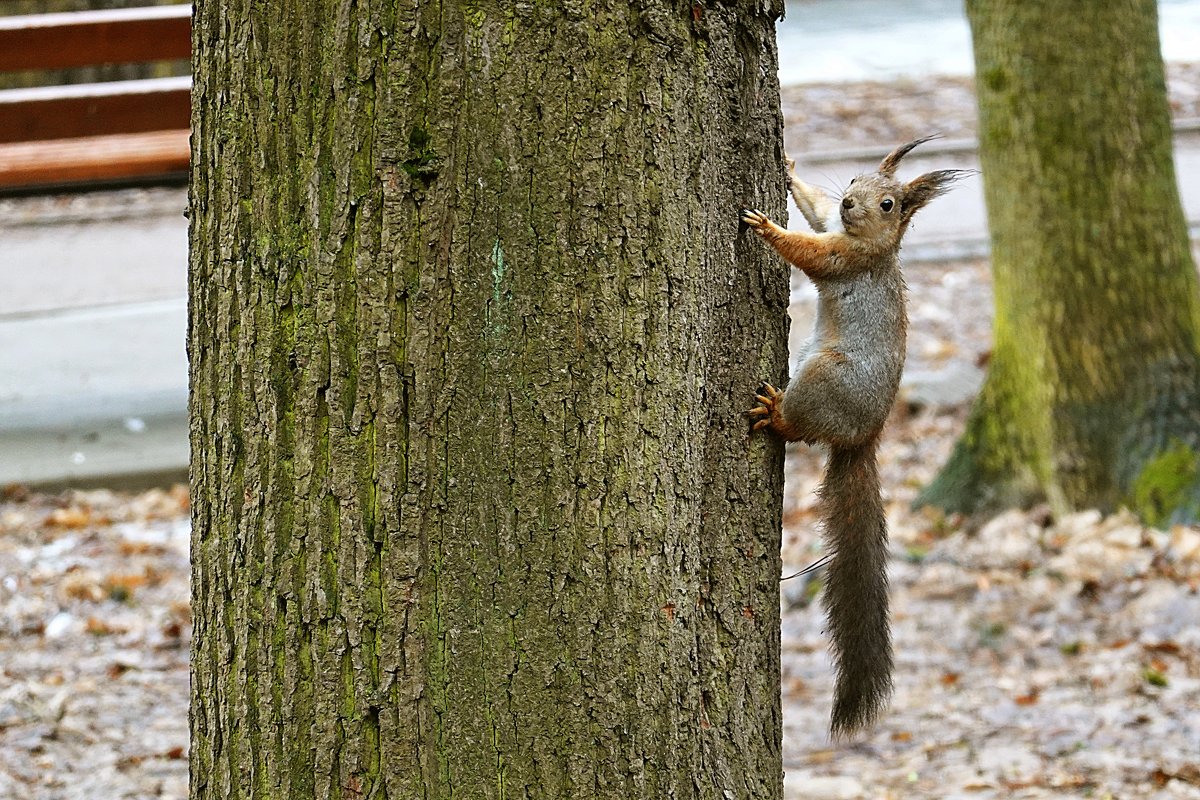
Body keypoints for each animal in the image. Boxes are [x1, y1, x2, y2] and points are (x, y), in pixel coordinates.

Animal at [739, 136, 964, 738]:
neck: (874, 244)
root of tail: (865, 436)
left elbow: (810, 251)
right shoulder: (833, 226)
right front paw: (793, 171)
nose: (850, 204)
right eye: (856, 181)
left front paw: (767, 228)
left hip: (822, 379)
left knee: (798, 428)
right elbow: (815, 212)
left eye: (888, 204)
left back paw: (776, 414)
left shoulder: (845, 258)